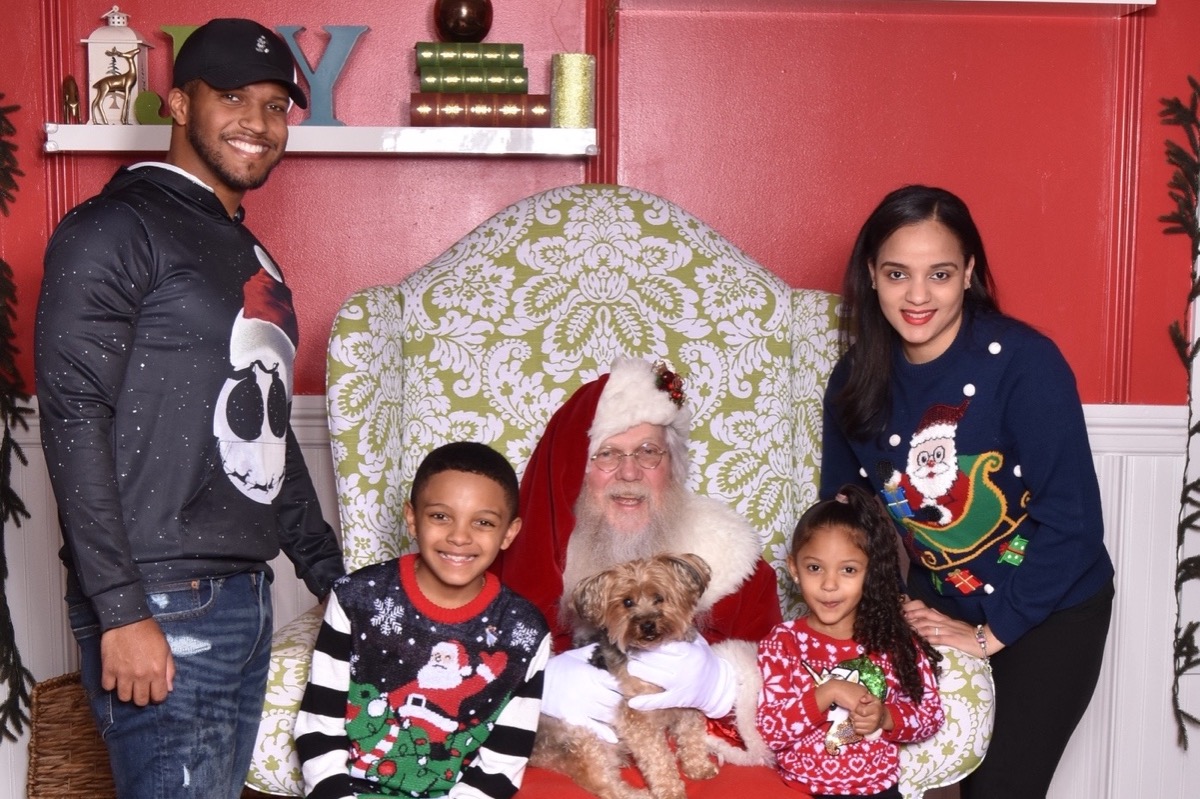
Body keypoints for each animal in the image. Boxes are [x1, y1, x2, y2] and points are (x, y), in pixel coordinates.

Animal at [530, 551, 715, 796]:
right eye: (627, 602)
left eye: (659, 597)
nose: (647, 625)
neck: (656, 651)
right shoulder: (638, 719)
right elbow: (658, 758)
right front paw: (670, 790)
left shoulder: (687, 703)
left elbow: (692, 736)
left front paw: (699, 767)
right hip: (587, 737)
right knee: (605, 785)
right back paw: (639, 794)